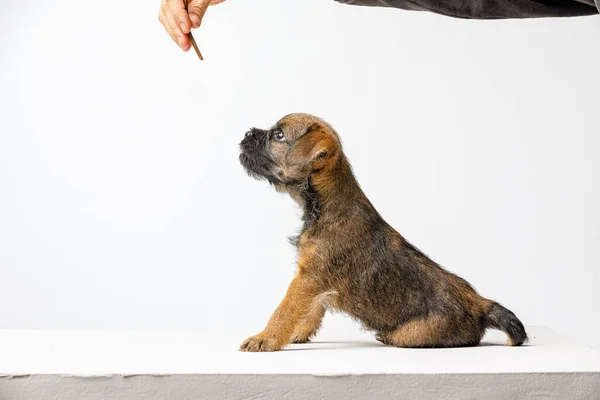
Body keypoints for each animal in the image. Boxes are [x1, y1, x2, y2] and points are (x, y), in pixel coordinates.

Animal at [238, 112, 524, 350]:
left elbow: (285, 309)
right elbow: (312, 309)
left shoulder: (308, 278)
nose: (247, 134)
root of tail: (479, 303)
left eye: (279, 135)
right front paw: (298, 332)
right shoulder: (314, 280)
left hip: (415, 333)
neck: (325, 207)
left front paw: (264, 339)